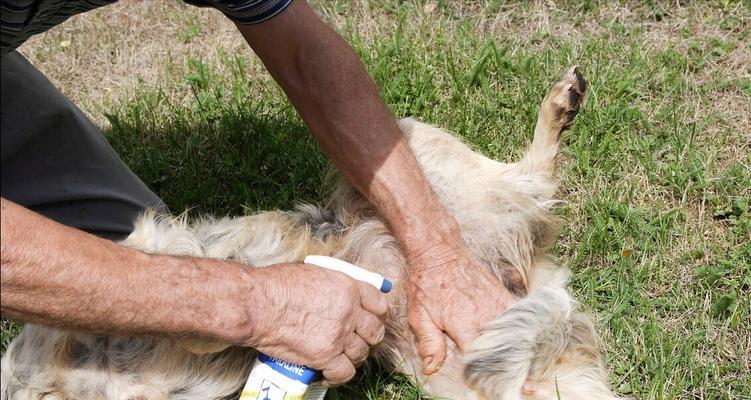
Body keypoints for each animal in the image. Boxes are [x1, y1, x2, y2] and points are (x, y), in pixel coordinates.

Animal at [0, 67, 624, 398]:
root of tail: (521, 272)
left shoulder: (143, 248)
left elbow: (167, 252)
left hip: (413, 148)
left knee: (530, 177)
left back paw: (560, 106)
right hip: (455, 372)